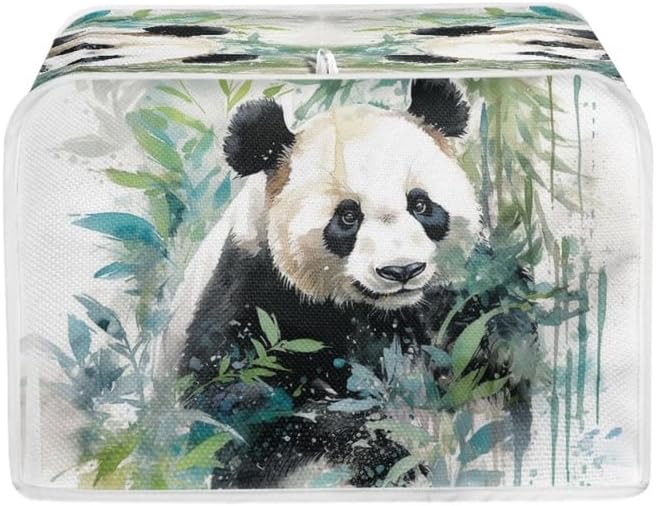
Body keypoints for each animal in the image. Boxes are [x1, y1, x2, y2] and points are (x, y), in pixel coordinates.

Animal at [157, 79, 535, 488]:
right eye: (348, 217)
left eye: (420, 205)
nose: (402, 271)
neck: (380, 311)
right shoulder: (252, 289)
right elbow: (236, 397)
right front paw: (382, 451)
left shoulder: (463, 289)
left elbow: (498, 341)